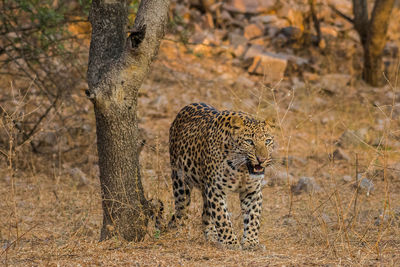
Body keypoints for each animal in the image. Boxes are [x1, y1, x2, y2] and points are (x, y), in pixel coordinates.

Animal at [169, 103, 276, 251]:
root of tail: (187, 106)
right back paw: (181, 231)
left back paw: (212, 236)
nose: (262, 159)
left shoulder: (252, 191)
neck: (242, 169)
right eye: (249, 141)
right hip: (180, 179)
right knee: (181, 208)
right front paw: (231, 243)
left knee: (206, 213)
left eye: (267, 141)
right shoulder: (216, 189)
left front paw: (251, 242)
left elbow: (253, 217)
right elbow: (222, 217)